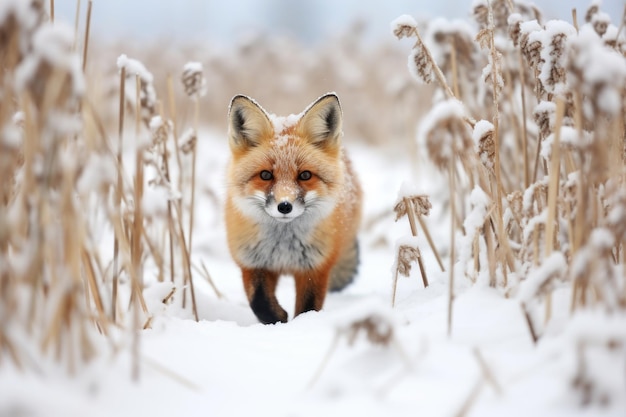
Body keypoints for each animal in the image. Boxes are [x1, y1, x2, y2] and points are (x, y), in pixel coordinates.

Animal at [224, 92, 360, 324]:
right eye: (265, 175)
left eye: (305, 175)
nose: (284, 206)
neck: (283, 247)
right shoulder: (253, 263)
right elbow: (259, 301)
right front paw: (278, 318)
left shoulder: (315, 267)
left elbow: (308, 307)